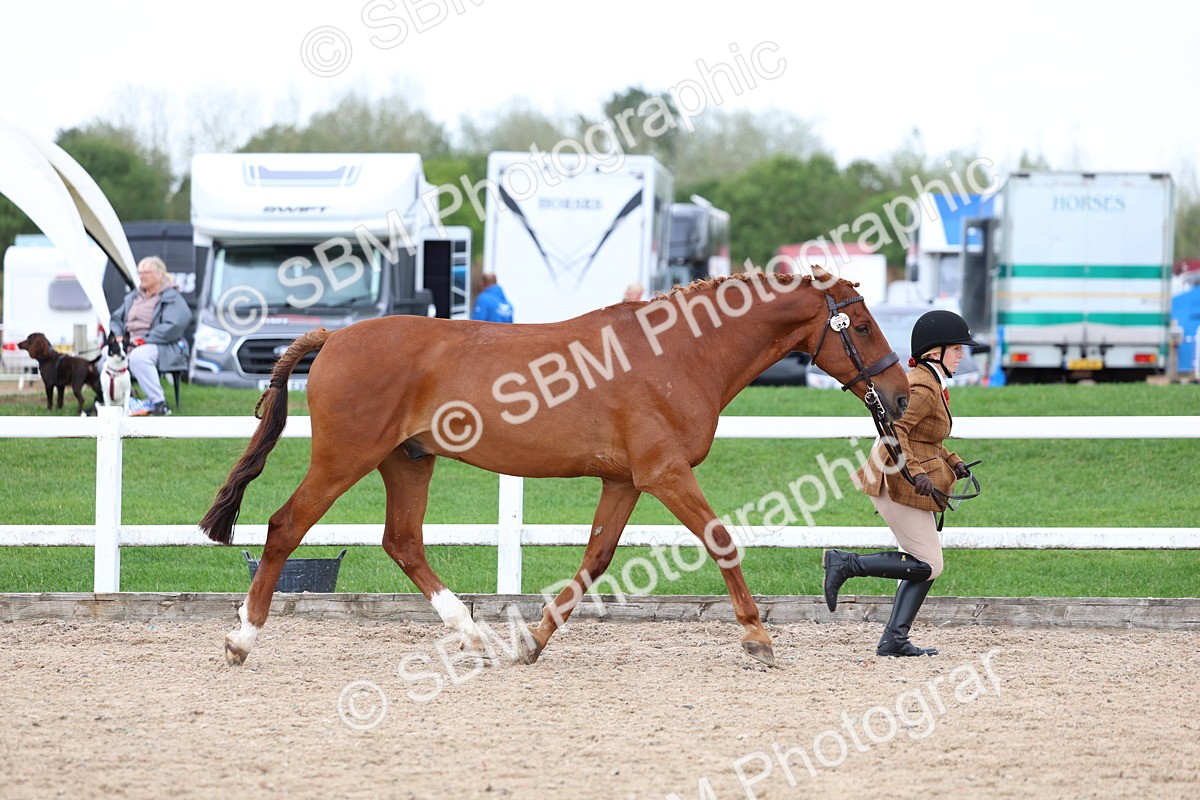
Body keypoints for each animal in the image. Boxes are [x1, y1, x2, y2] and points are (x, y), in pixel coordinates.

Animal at [200, 267, 909, 667]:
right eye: (863, 327)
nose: (901, 396)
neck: (680, 353)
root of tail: (335, 336)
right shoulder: (665, 474)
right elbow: (722, 541)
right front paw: (758, 641)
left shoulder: (625, 481)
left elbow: (594, 560)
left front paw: (532, 642)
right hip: (345, 457)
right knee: (285, 527)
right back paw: (241, 641)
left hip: (408, 463)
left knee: (401, 541)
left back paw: (472, 635)